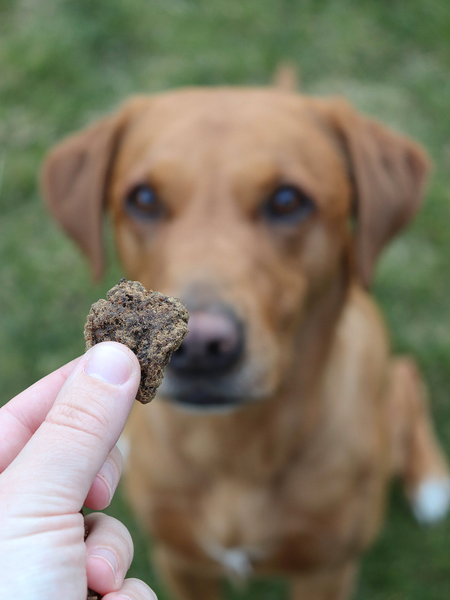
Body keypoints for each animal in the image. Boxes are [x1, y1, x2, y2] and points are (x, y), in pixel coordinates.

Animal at [41, 85, 450, 600]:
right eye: (144, 198)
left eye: (287, 200)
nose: (200, 348)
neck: (232, 454)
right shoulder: (182, 562)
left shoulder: (327, 572)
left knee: (408, 377)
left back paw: (431, 478)